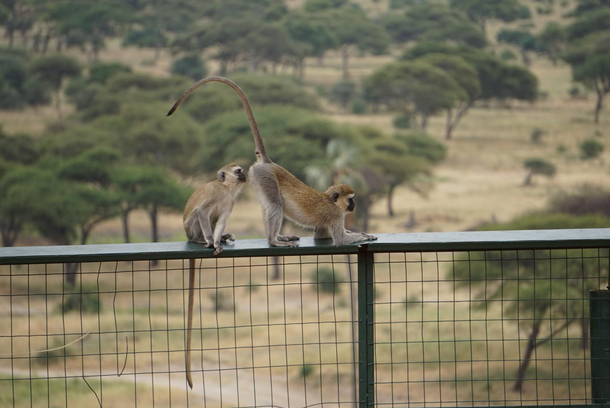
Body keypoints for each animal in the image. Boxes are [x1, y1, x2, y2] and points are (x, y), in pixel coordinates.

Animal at [167, 76, 376, 247]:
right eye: (351, 199)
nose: (354, 206)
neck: (331, 201)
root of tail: (268, 163)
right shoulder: (335, 215)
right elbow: (339, 239)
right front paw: (364, 235)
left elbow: (322, 236)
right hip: (264, 177)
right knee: (275, 205)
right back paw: (274, 240)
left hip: (257, 181)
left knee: (270, 207)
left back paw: (279, 236)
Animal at [180, 163, 245, 388]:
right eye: (238, 171)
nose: (244, 175)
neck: (226, 189)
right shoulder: (216, 194)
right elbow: (202, 211)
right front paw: (211, 242)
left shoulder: (230, 202)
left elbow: (221, 220)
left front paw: (218, 240)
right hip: (192, 229)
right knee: (201, 217)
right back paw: (202, 241)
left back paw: (223, 238)